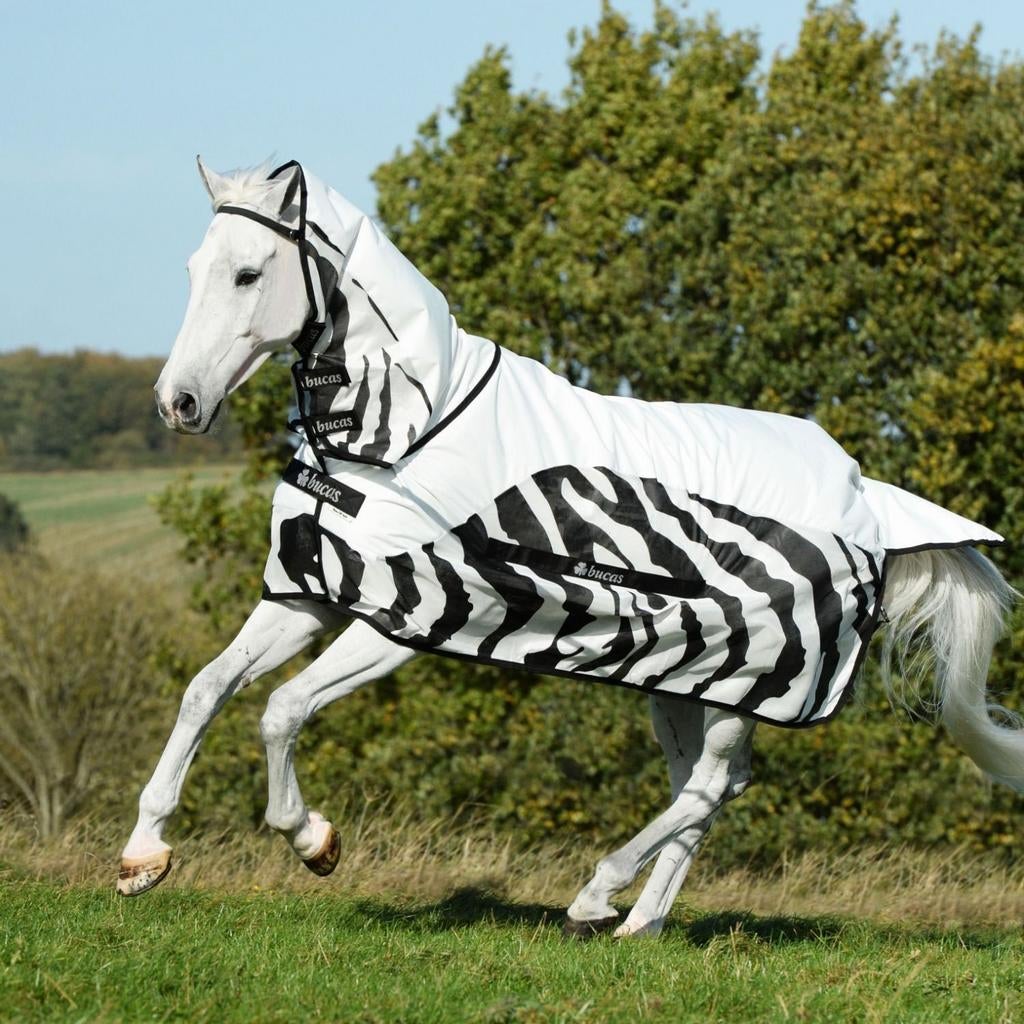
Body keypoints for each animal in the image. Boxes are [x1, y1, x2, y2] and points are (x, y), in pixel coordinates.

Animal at [118, 158, 1022, 940]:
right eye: (195, 269)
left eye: (248, 274)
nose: (177, 403)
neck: (404, 433)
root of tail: (867, 497)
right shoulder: (307, 595)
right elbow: (206, 691)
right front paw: (143, 857)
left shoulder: (402, 616)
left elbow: (280, 710)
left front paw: (314, 841)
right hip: (684, 676)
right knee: (710, 789)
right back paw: (636, 922)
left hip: (754, 676)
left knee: (706, 787)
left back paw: (595, 893)